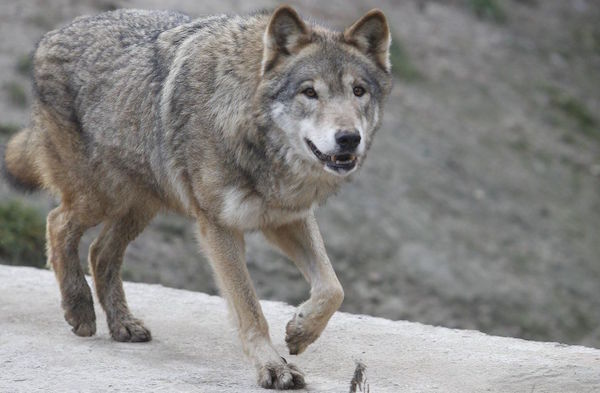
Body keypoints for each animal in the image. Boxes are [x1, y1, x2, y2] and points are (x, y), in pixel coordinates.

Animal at [3, 4, 394, 388]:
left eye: (358, 91)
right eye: (309, 92)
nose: (349, 139)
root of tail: (51, 36)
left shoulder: (287, 216)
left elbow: (332, 287)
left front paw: (300, 331)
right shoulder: (219, 226)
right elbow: (250, 308)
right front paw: (272, 366)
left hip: (142, 204)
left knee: (99, 252)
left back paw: (122, 324)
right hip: (102, 197)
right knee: (57, 223)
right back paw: (79, 308)